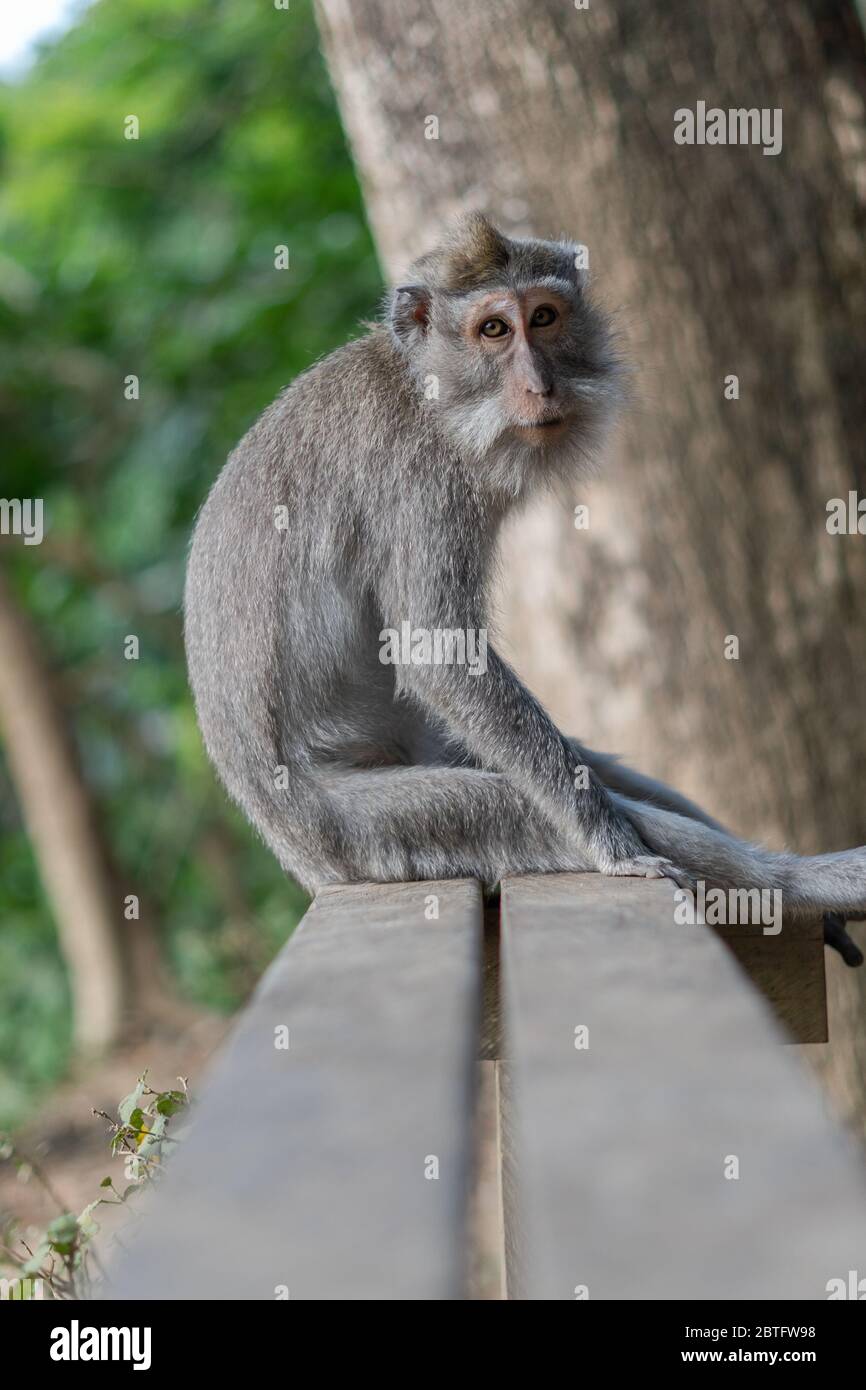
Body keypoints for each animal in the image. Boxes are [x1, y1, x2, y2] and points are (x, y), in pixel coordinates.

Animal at [184, 212, 864, 965]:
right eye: (493, 330)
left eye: (543, 317)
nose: (541, 385)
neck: (431, 391)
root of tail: (299, 858)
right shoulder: (423, 481)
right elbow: (438, 655)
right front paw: (613, 845)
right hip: (367, 833)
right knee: (500, 807)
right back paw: (798, 883)